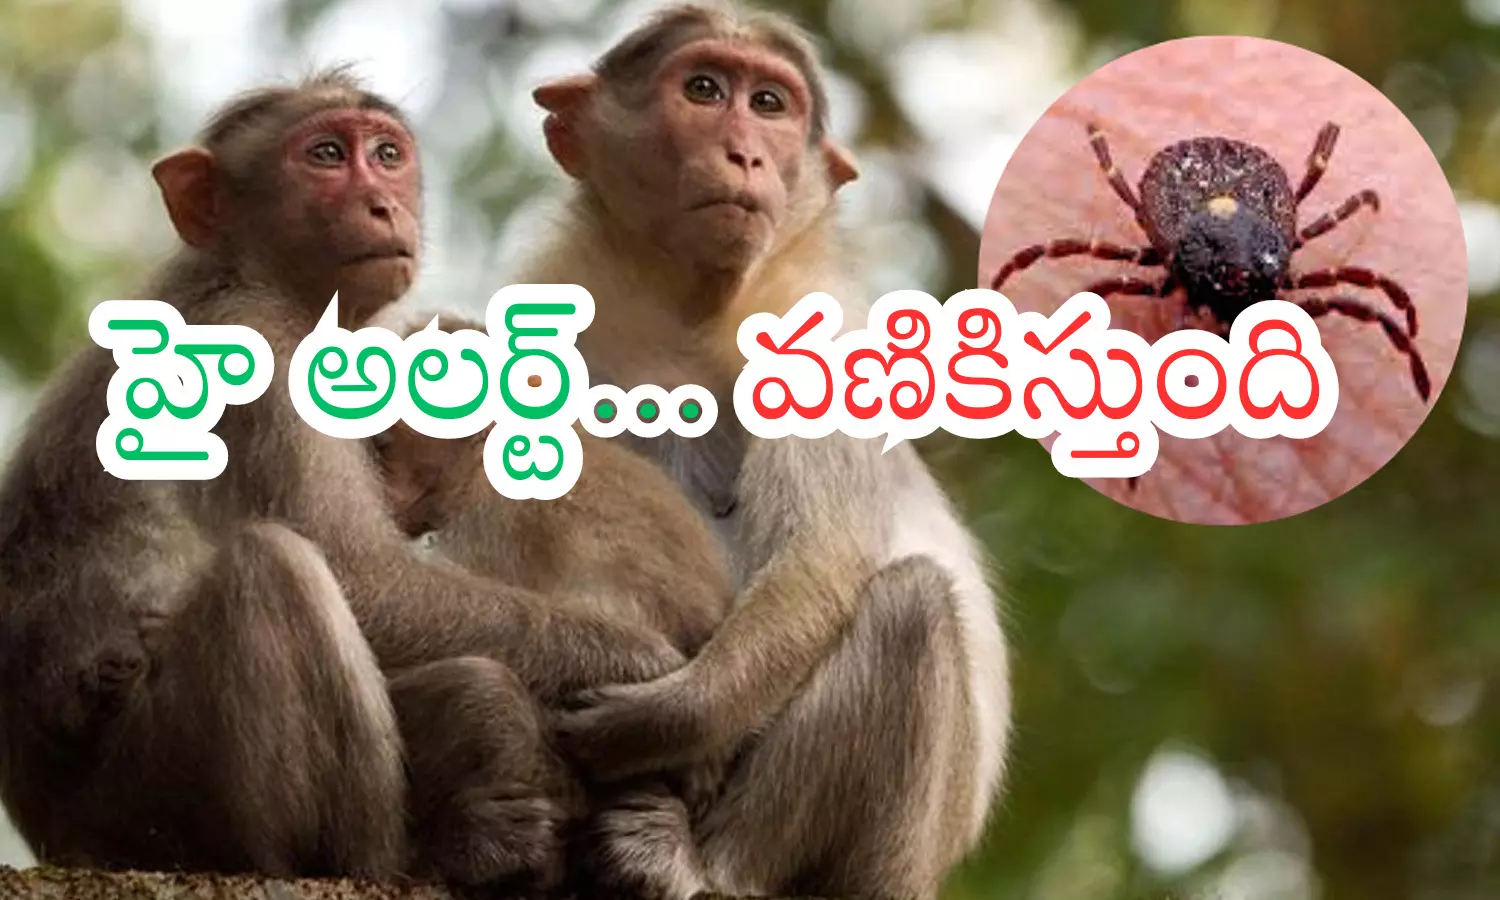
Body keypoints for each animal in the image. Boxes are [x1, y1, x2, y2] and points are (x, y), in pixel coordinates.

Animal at [0, 68, 690, 892]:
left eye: (386, 155)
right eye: (326, 154)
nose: (382, 203)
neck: (248, 274)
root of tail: (53, 832)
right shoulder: (258, 352)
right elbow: (364, 577)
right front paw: (645, 670)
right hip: (147, 804)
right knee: (277, 570)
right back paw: (401, 854)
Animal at [505, 5, 1015, 900]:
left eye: (769, 104)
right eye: (705, 89)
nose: (745, 152)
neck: (690, 307)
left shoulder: (826, 335)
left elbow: (820, 560)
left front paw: (659, 722)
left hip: (889, 855)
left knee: (912, 607)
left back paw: (698, 863)